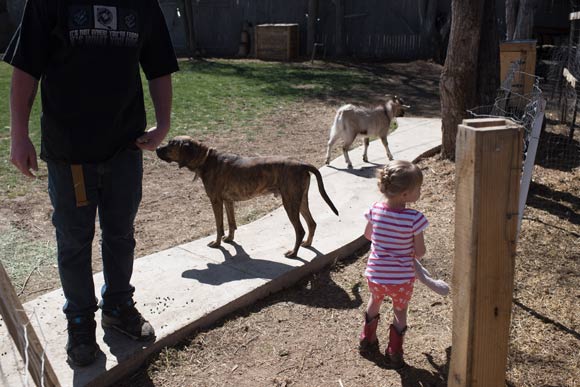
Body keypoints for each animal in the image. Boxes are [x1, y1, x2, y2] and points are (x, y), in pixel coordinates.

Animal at [159, 136, 340, 258]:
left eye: (170, 144)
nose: (156, 149)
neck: (206, 159)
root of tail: (301, 164)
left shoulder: (216, 201)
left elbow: (219, 225)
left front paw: (217, 243)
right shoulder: (228, 201)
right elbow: (231, 223)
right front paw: (230, 239)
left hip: (290, 202)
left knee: (300, 230)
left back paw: (293, 253)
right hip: (300, 200)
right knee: (312, 223)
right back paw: (307, 244)